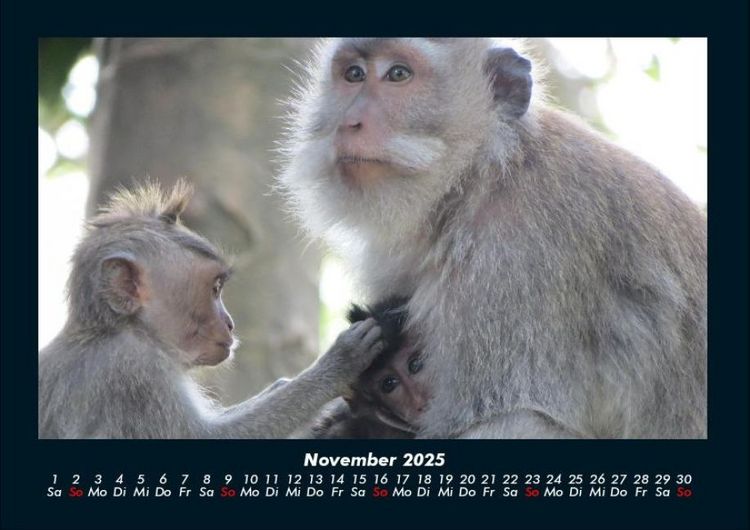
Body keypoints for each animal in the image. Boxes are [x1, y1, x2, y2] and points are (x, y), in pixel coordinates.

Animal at [38, 181, 385, 439]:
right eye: (215, 289)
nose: (230, 323)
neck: (122, 328)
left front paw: (284, 386)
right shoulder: (134, 373)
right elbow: (205, 437)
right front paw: (335, 365)